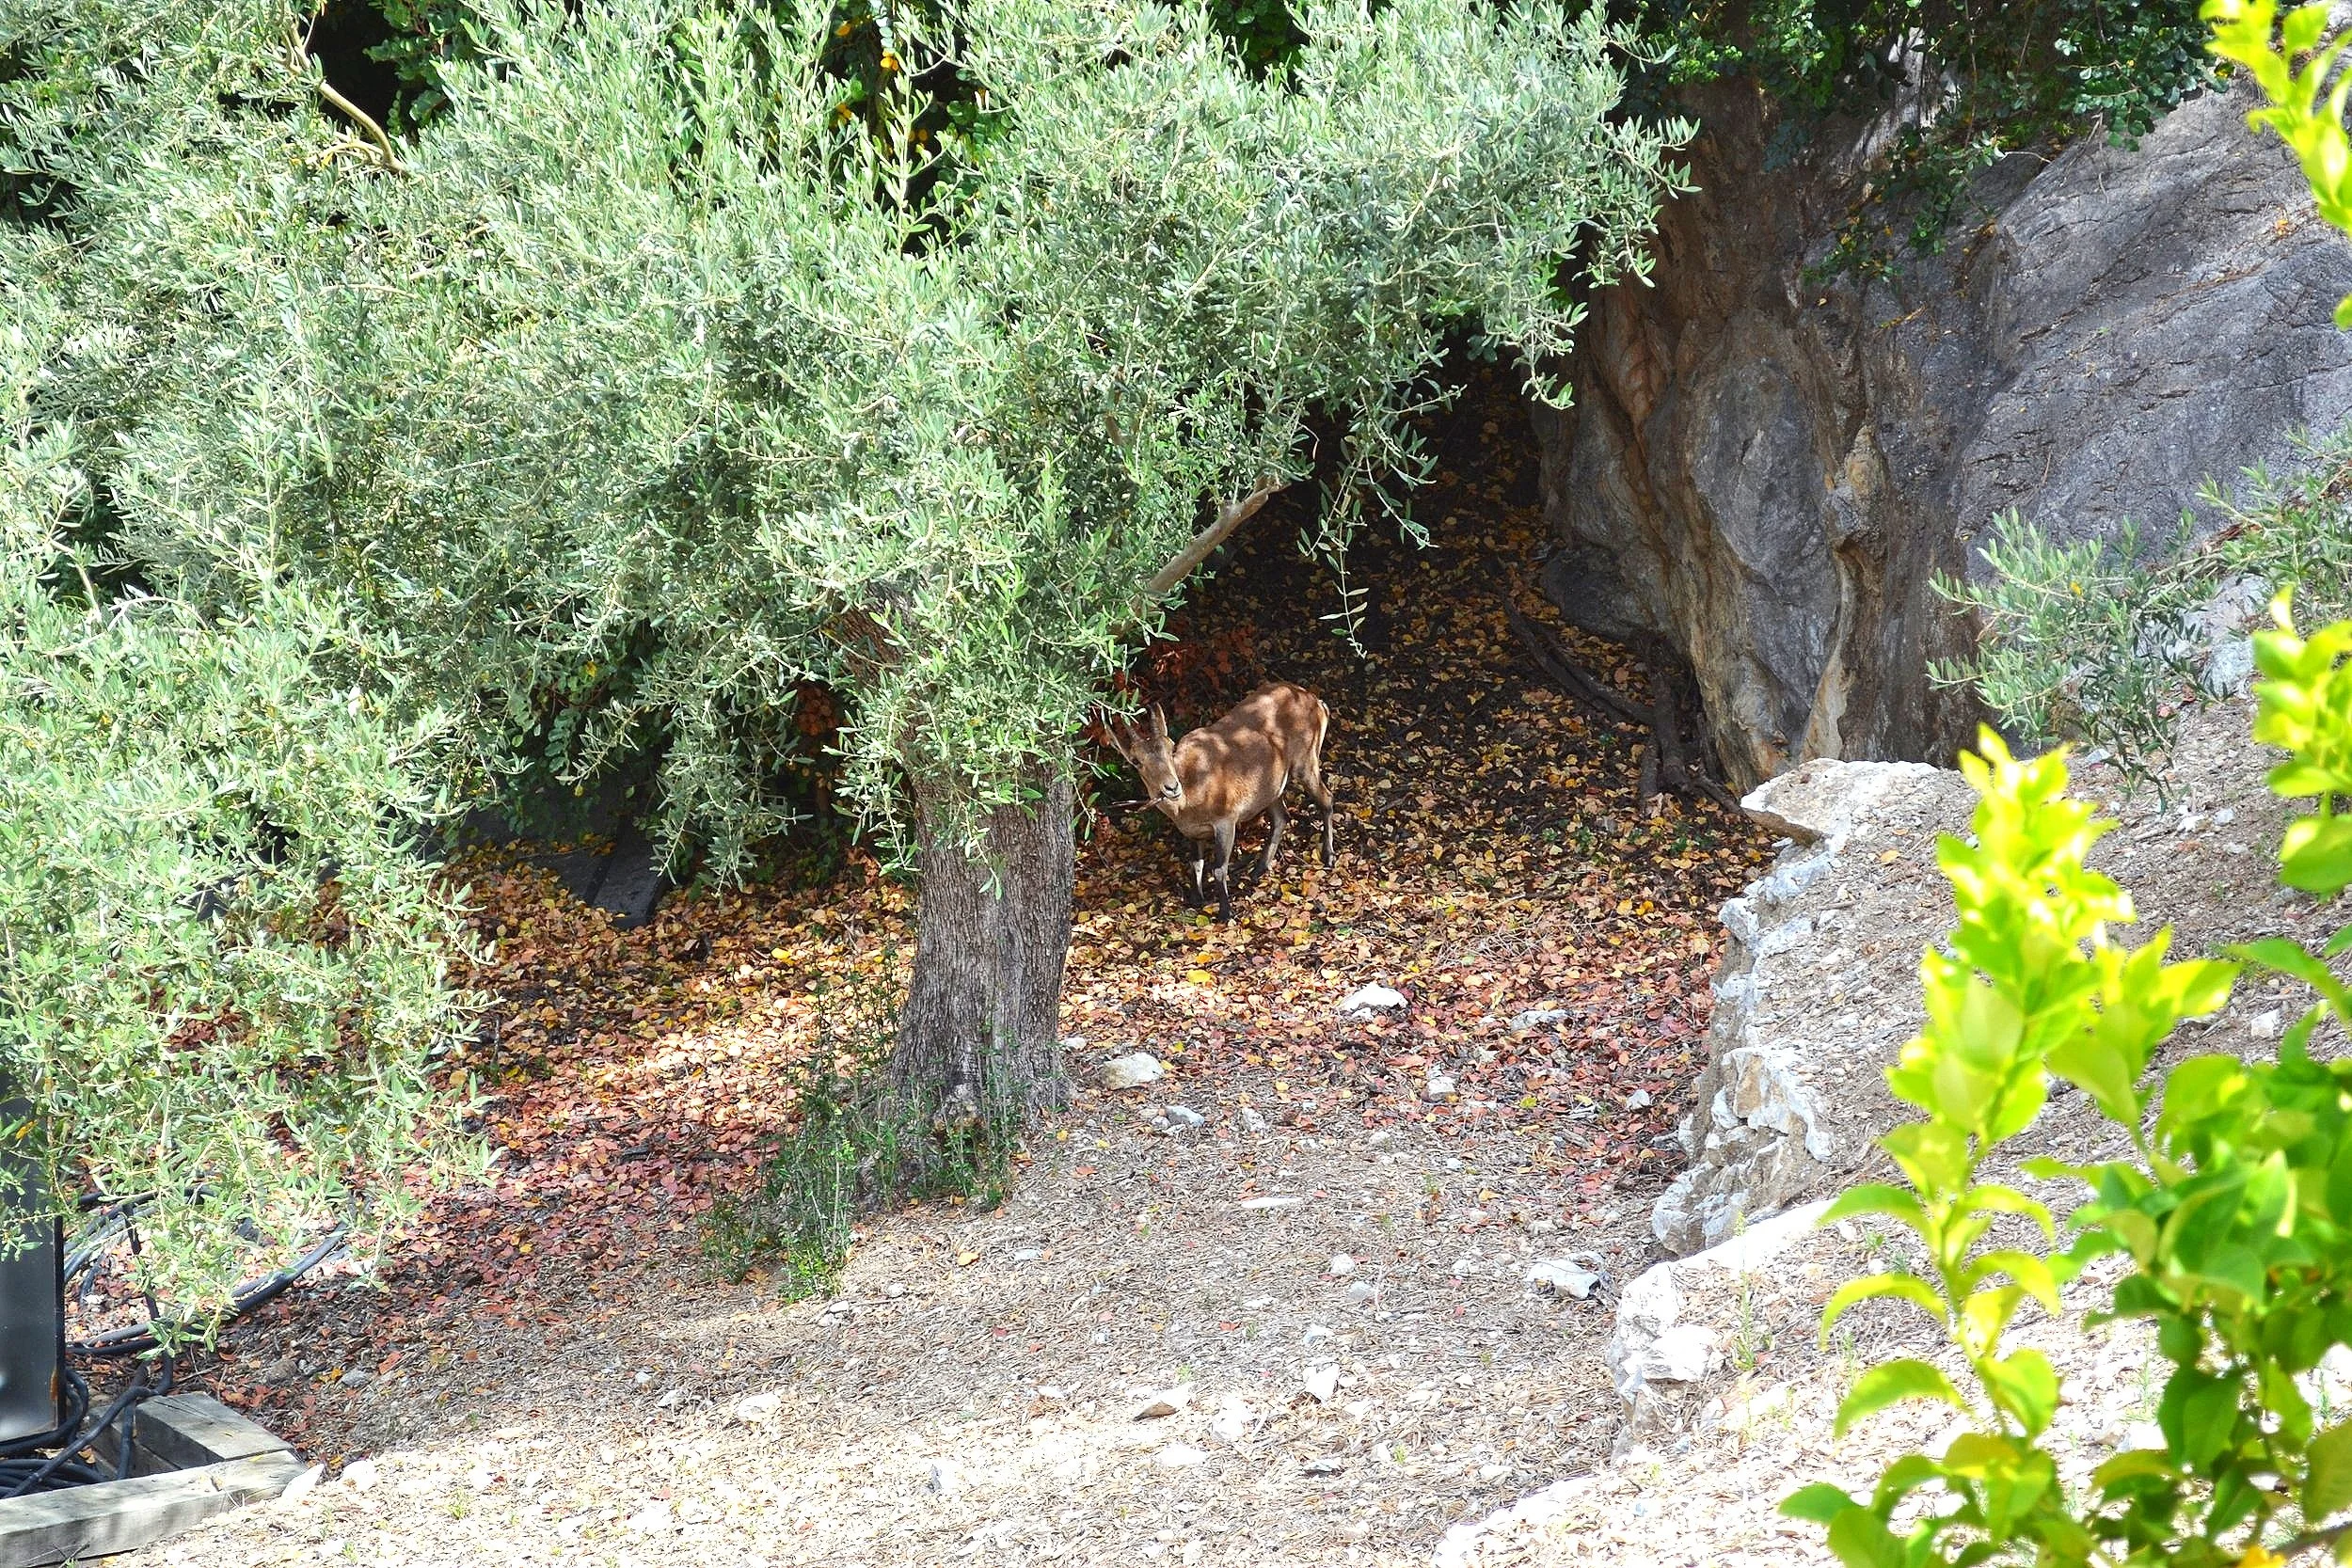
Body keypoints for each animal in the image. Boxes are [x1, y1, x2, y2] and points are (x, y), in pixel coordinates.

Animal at [1105, 682, 1335, 921]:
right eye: (1135, 761)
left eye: (1171, 748)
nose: (1172, 787)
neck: (1190, 794)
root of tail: (1316, 702)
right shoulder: (1192, 831)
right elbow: (1196, 863)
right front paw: (1197, 899)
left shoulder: (1225, 821)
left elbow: (1218, 868)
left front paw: (1226, 912)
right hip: (1272, 785)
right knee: (1281, 817)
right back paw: (1259, 869)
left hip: (1306, 763)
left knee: (1326, 799)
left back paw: (1328, 856)